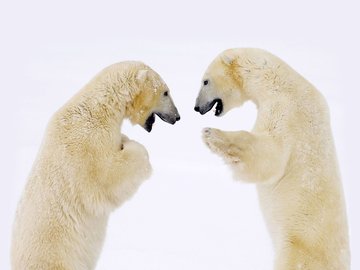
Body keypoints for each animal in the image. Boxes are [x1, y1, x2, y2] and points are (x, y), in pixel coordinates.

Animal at [11, 61, 180, 270]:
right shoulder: (86, 142)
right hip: (58, 259)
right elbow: (105, 180)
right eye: (166, 92)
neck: (99, 108)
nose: (177, 117)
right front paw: (134, 148)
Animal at [195, 49, 350, 270]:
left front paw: (211, 134)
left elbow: (271, 156)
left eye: (205, 81)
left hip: (298, 247)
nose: (196, 107)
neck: (277, 81)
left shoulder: (287, 110)